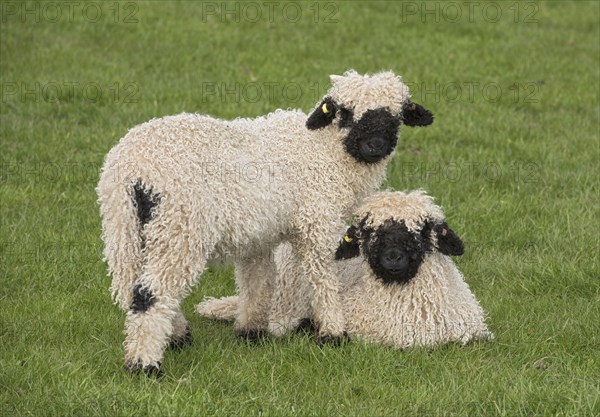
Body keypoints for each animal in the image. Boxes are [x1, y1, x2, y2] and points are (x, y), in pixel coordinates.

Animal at [96, 70, 434, 376]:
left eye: (397, 116)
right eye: (345, 112)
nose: (374, 145)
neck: (326, 151)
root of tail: (134, 169)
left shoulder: (257, 235)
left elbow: (257, 280)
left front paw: (251, 331)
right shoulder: (317, 223)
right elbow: (323, 279)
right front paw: (333, 332)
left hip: (124, 226)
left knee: (130, 285)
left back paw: (173, 335)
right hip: (180, 226)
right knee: (150, 294)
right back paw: (144, 364)